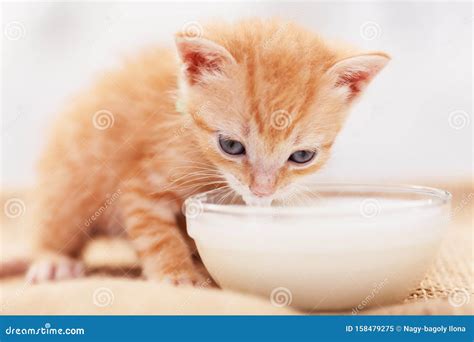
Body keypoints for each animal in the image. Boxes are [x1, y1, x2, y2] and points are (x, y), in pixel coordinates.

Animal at [25, 19, 388, 286]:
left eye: (301, 156)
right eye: (231, 146)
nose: (262, 190)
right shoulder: (142, 184)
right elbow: (157, 234)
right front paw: (178, 275)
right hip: (72, 180)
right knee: (57, 223)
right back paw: (52, 260)